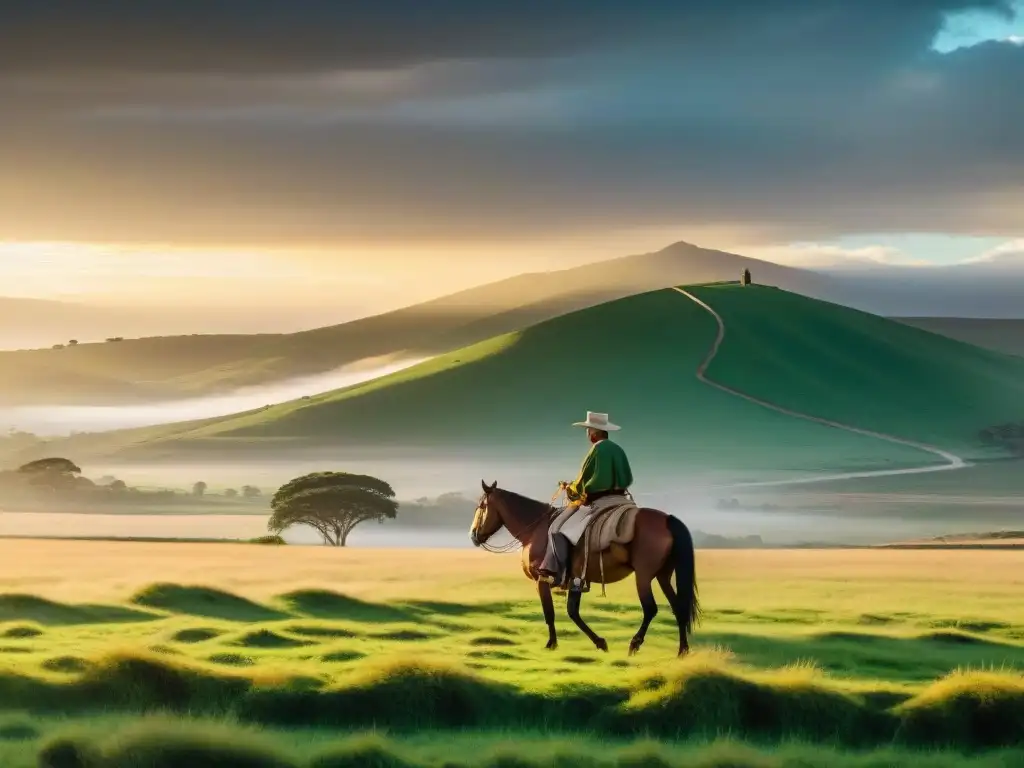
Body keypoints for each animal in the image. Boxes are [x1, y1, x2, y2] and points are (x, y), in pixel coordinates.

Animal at [468, 481, 700, 655]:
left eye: (481, 506)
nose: (473, 536)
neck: (535, 530)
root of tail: (668, 520)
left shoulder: (542, 580)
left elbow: (550, 613)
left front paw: (551, 644)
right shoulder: (576, 579)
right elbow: (573, 612)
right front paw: (600, 643)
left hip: (643, 576)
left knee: (650, 608)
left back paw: (635, 643)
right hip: (662, 575)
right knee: (678, 607)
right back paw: (682, 650)